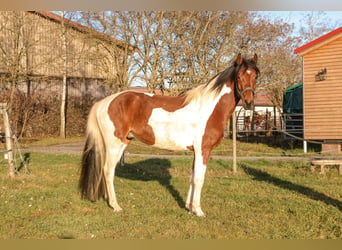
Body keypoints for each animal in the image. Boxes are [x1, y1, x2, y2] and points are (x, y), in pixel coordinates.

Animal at [79, 52, 260, 217]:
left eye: (256, 76)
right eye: (239, 76)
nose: (249, 102)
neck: (209, 109)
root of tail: (104, 102)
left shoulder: (196, 152)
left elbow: (192, 177)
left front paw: (189, 207)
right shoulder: (203, 150)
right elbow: (199, 179)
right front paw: (198, 210)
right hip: (115, 144)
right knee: (108, 170)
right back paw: (116, 205)